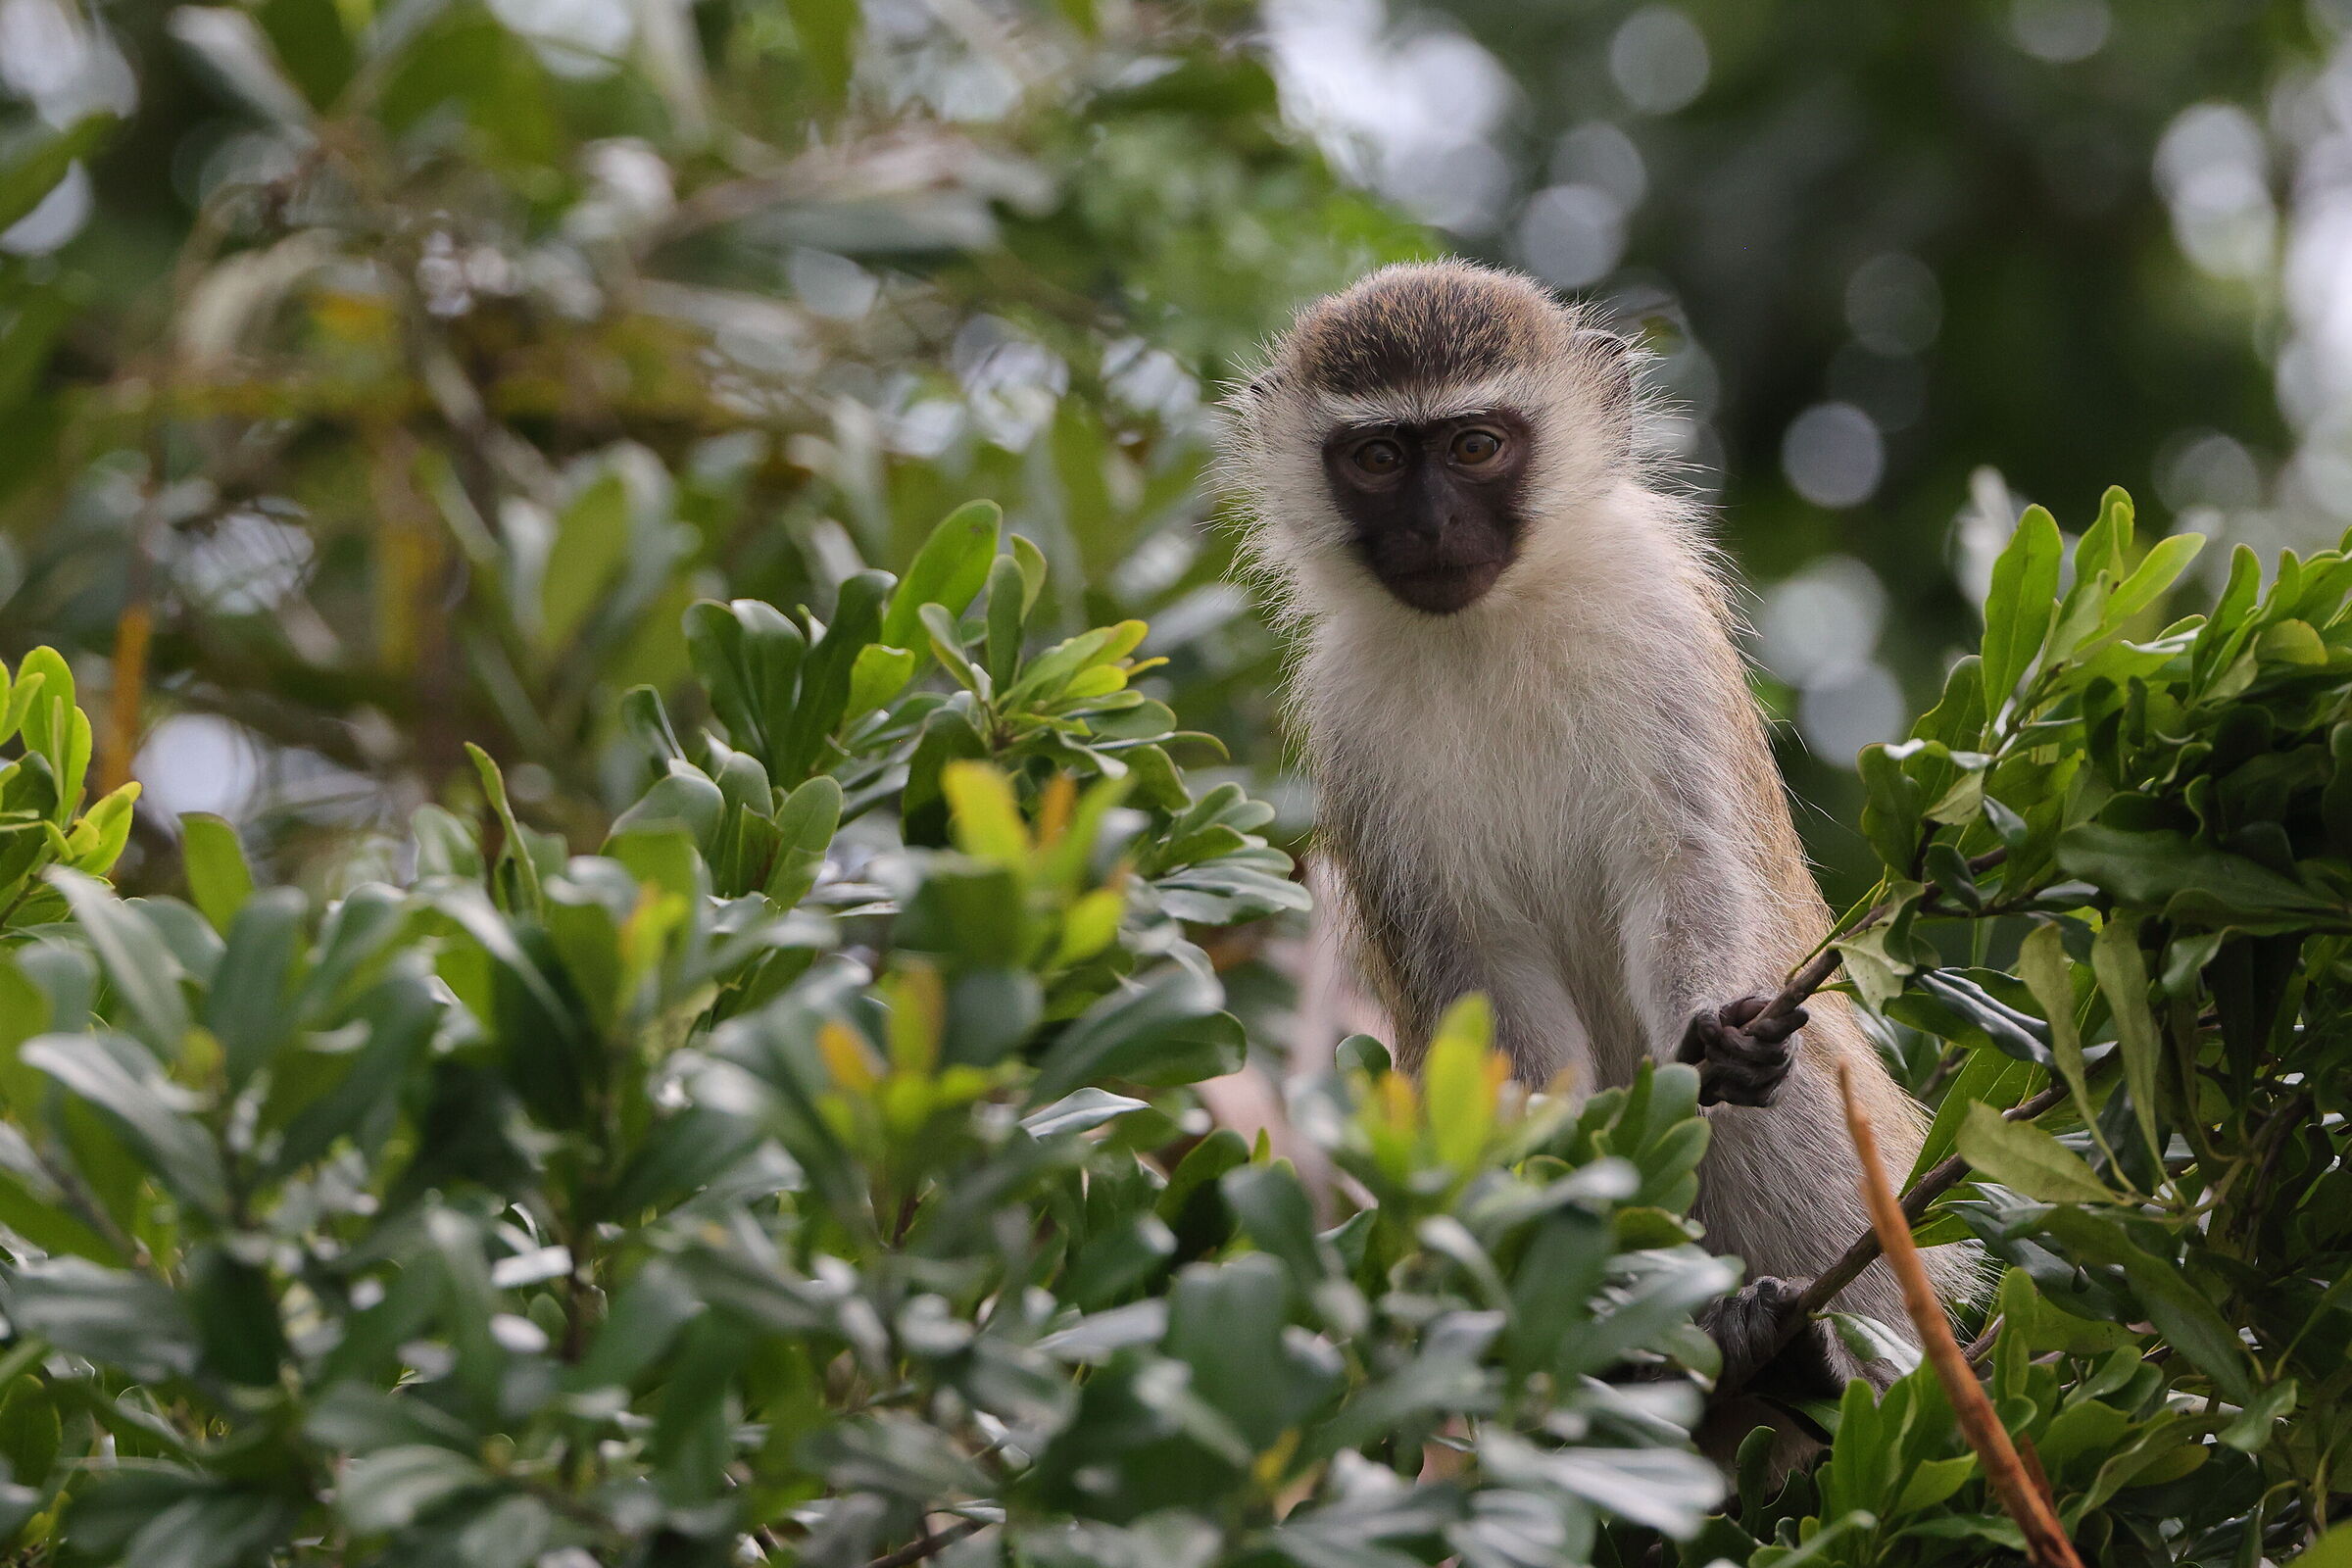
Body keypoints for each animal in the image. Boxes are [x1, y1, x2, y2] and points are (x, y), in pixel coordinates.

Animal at [1218, 259, 1978, 1437]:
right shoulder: (1350, 724)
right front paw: (1548, 1165)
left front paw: (1722, 1034)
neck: (1488, 627)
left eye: (1475, 446)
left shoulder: (1652, 625)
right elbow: (1475, 962)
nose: (1432, 526)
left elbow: (1682, 868)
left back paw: (1824, 1363)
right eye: (1379, 457)